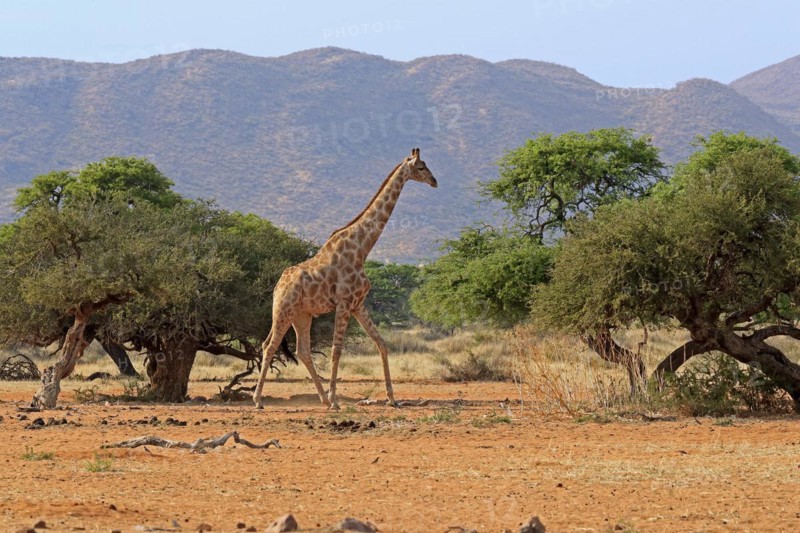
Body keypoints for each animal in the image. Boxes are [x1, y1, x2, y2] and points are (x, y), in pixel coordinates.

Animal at [253, 148, 437, 409]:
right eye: (421, 167)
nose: (435, 181)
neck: (362, 248)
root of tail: (278, 286)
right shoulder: (343, 303)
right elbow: (336, 350)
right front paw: (335, 400)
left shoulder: (358, 304)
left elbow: (381, 343)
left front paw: (392, 399)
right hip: (283, 310)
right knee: (269, 346)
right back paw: (258, 400)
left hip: (301, 315)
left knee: (302, 351)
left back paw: (320, 398)